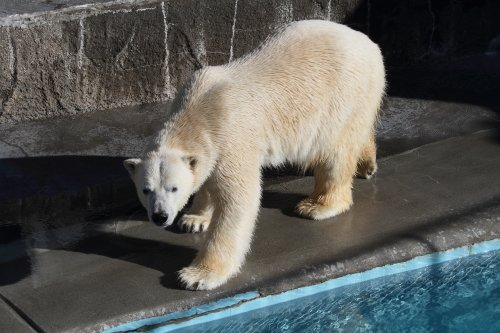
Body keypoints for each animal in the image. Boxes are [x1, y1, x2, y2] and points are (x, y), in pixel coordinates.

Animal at [123, 20, 384, 290]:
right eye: (146, 189)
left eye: (174, 188)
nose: (160, 216)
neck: (198, 110)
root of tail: (369, 43)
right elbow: (206, 179)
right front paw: (194, 219)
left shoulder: (232, 137)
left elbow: (238, 200)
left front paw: (197, 275)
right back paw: (366, 164)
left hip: (344, 94)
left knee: (335, 153)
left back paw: (317, 205)